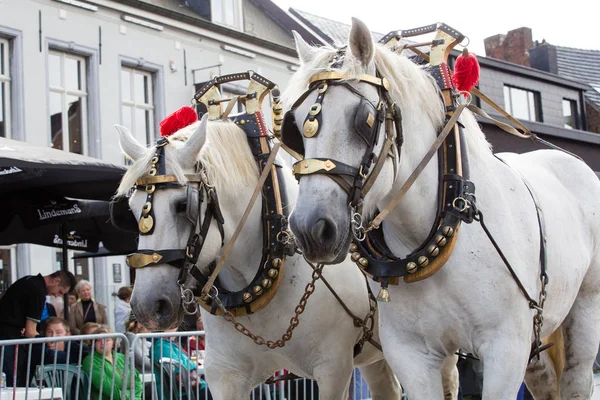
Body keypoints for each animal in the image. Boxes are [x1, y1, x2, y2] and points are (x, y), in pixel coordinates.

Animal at [284, 17, 600, 398]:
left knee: (577, 377)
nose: (310, 229)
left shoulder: (506, 349)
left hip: (585, 310)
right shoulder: (410, 355)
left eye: (364, 120)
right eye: (294, 128)